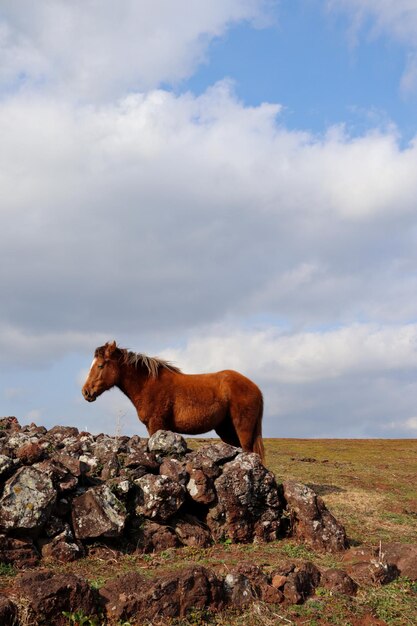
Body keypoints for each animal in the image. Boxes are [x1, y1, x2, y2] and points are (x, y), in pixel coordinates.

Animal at [81, 338, 264, 460]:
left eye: (100, 365)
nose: (86, 392)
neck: (147, 384)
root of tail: (256, 388)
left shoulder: (156, 425)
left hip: (243, 430)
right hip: (226, 431)